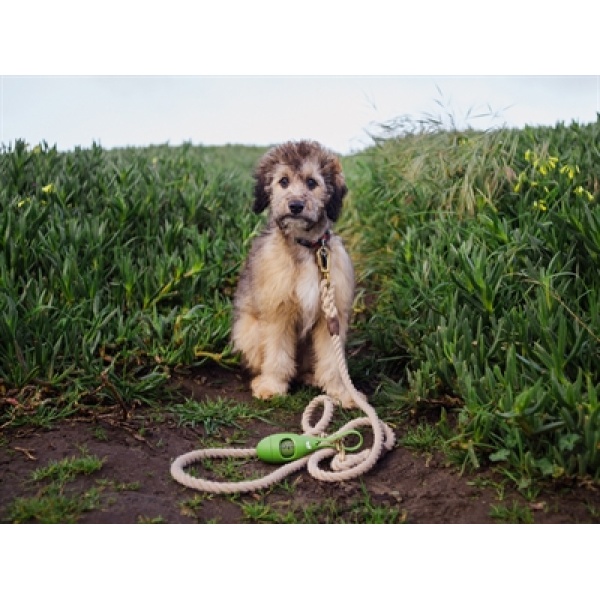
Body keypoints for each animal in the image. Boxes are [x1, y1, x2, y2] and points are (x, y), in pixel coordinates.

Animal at [231, 141, 360, 408]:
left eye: (312, 182)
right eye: (283, 181)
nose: (296, 206)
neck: (307, 247)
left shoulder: (332, 317)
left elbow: (333, 361)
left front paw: (342, 391)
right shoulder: (277, 311)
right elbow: (277, 353)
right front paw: (272, 386)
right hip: (248, 329)